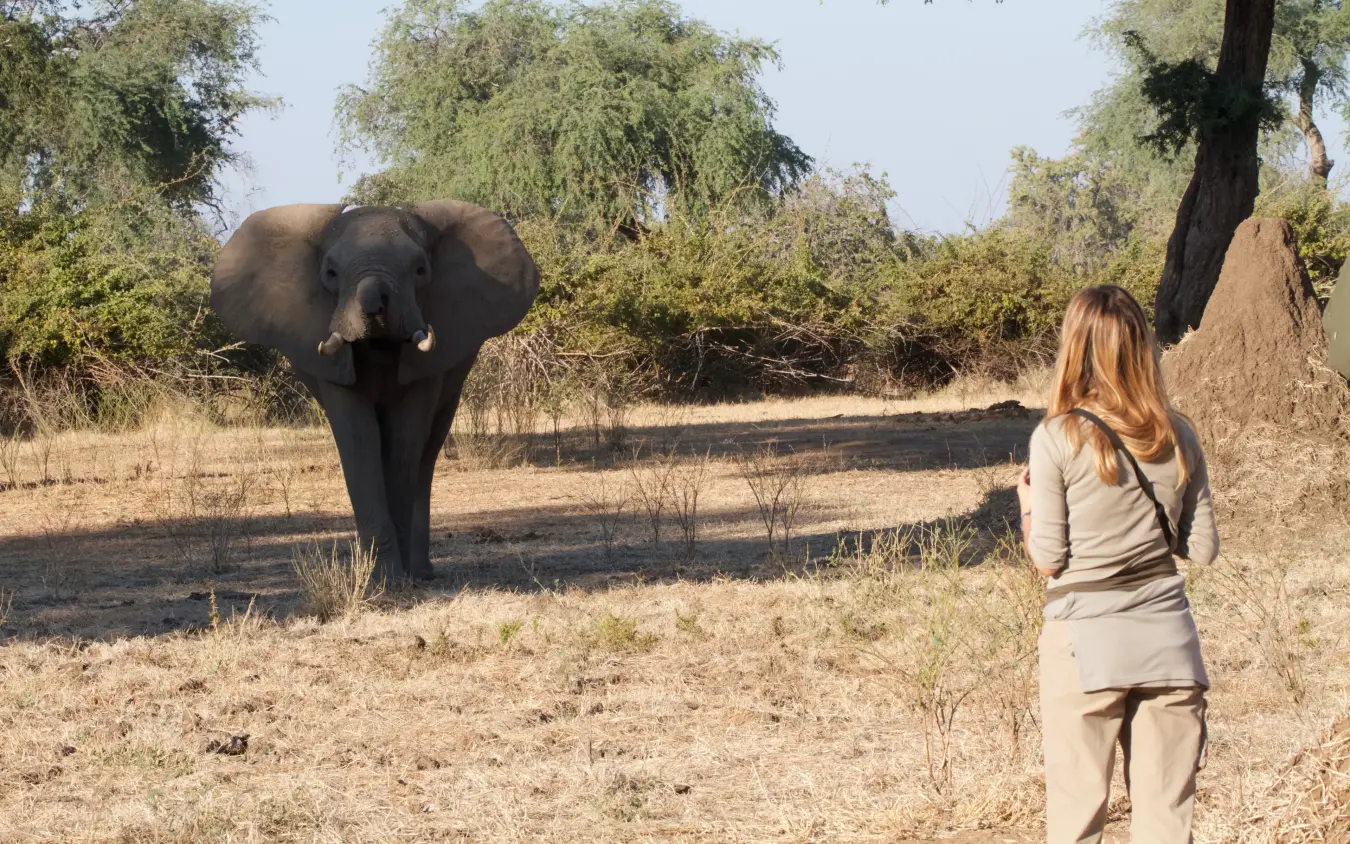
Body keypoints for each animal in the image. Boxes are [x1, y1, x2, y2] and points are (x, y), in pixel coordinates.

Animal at [210, 201, 540, 584]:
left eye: (420, 270)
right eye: (331, 272)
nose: (376, 304)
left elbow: (405, 438)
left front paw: (396, 579)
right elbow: (358, 438)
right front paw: (382, 581)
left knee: (426, 453)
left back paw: (421, 573)